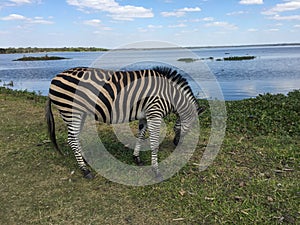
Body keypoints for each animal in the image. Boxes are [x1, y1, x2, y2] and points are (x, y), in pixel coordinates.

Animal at [45, 66, 204, 179]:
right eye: (192, 127)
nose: (177, 144)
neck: (169, 95)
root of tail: (55, 77)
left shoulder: (145, 116)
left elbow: (141, 136)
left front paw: (137, 158)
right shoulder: (154, 113)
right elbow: (153, 142)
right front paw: (156, 171)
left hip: (79, 113)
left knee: (75, 138)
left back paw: (85, 161)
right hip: (71, 112)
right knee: (72, 139)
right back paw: (85, 170)